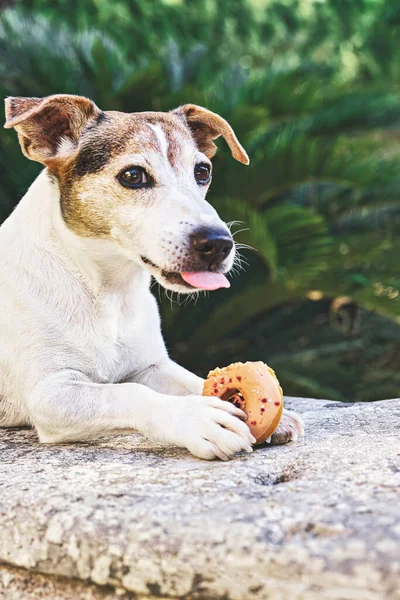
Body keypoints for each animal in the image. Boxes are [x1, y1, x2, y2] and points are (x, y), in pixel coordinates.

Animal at [0, 95, 304, 460]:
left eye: (202, 171)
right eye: (133, 176)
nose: (218, 243)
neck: (106, 291)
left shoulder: (151, 366)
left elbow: (193, 381)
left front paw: (278, 415)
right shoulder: (50, 394)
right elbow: (128, 393)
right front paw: (196, 417)